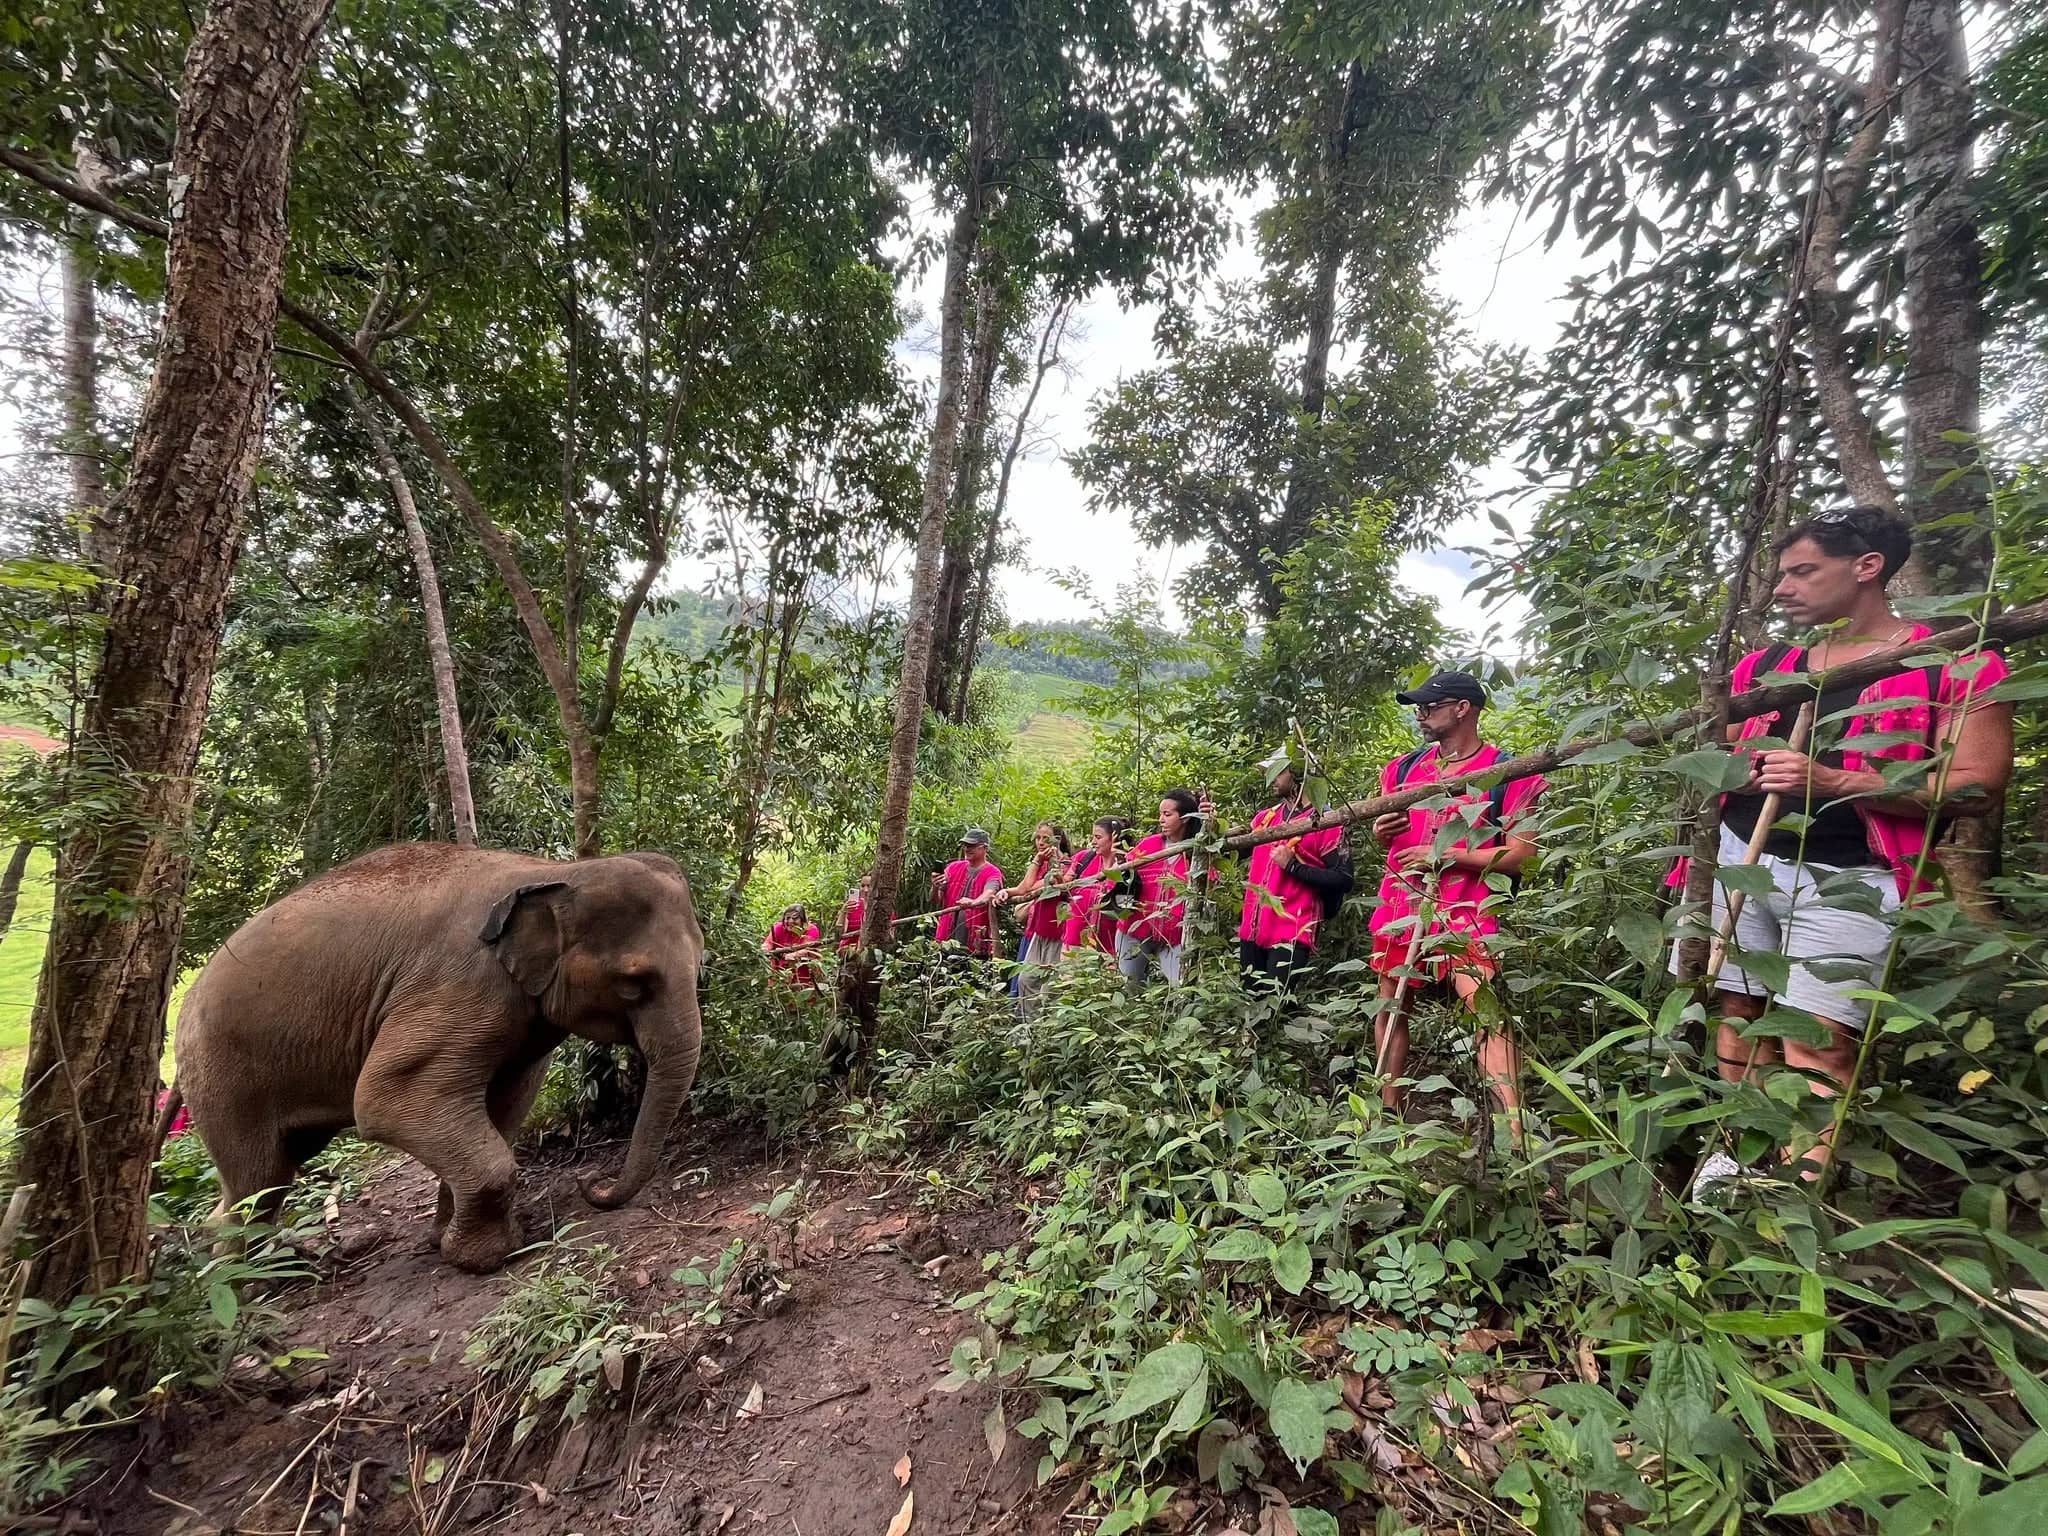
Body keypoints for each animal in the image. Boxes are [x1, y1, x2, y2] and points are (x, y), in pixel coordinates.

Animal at [171, 842, 705, 1272]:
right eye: (633, 983)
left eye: (701, 965)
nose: (593, 1184)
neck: (553, 872)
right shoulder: (460, 985)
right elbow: (388, 1098)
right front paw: (487, 1257)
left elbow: (504, 1102)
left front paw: (445, 1239)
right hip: (222, 1073)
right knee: (258, 1178)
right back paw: (244, 1286)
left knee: (267, 1174)